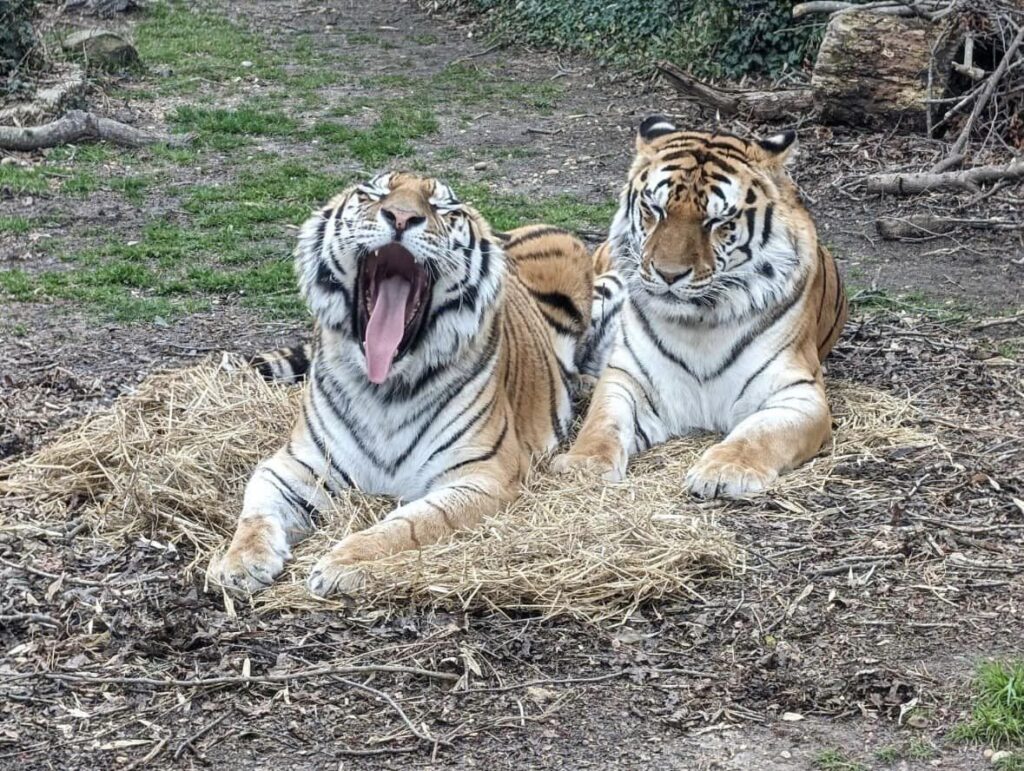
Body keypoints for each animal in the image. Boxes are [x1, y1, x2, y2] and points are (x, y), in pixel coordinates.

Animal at [214, 171, 624, 596]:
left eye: (441, 207)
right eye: (375, 194)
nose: (400, 217)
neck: (382, 387)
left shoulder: (481, 475)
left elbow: (409, 525)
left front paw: (342, 561)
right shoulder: (295, 464)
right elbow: (257, 507)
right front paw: (240, 563)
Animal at [552, 116, 847, 498]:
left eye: (717, 222)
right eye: (655, 210)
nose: (668, 274)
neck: (699, 324)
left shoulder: (798, 393)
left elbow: (760, 434)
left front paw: (725, 470)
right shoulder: (628, 378)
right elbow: (602, 423)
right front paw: (583, 464)